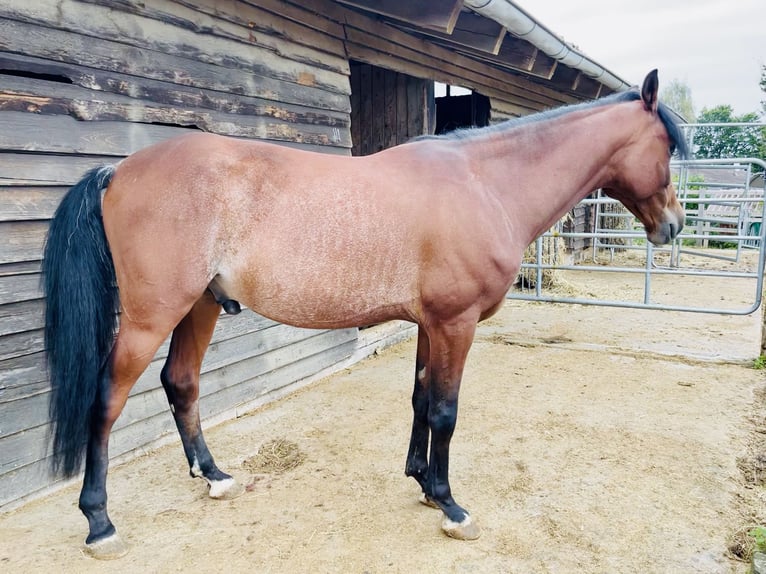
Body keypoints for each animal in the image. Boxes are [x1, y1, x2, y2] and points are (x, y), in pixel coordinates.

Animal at [43, 70, 688, 560]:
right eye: (666, 149)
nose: (674, 225)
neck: (483, 183)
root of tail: (118, 172)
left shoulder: (431, 324)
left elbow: (422, 399)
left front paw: (422, 482)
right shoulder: (455, 323)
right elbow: (447, 411)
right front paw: (451, 505)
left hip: (198, 305)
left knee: (181, 383)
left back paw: (215, 477)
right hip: (152, 316)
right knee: (107, 400)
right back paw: (99, 522)